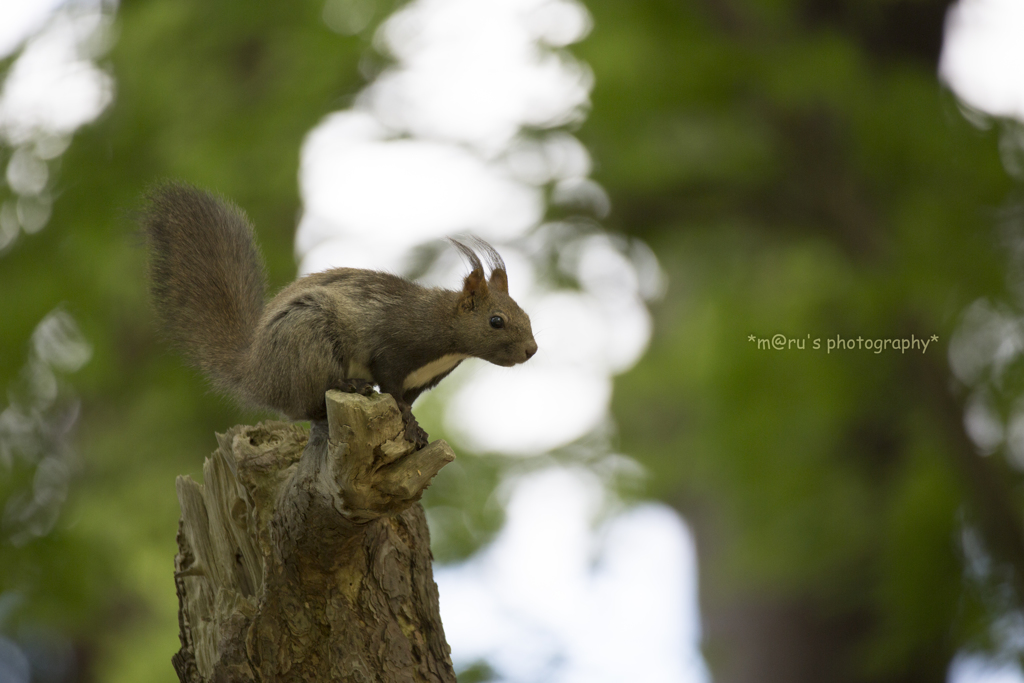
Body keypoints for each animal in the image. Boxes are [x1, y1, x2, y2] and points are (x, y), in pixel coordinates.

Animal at [141, 181, 540, 444]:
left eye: (526, 315)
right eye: (496, 321)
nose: (531, 350)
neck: (444, 329)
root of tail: (256, 373)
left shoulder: (421, 379)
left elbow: (406, 399)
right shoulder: (393, 349)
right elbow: (393, 391)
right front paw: (409, 425)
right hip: (306, 342)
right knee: (306, 406)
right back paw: (349, 386)